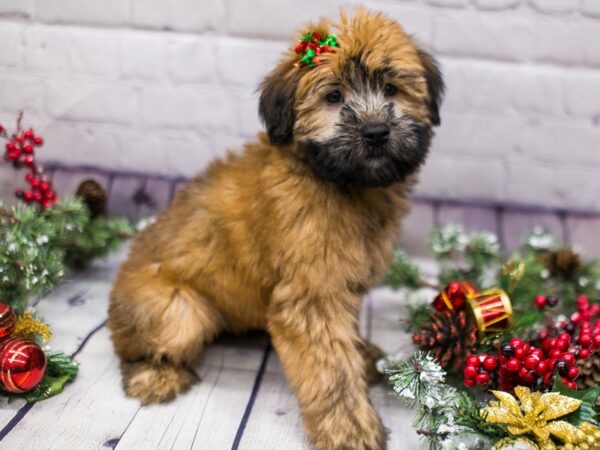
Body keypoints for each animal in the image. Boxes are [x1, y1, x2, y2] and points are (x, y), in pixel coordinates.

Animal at [110, 10, 442, 450]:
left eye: (391, 89)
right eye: (333, 97)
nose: (376, 133)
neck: (337, 181)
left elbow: (346, 339)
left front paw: (363, 356)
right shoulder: (311, 297)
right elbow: (331, 368)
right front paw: (348, 429)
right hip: (178, 309)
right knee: (139, 347)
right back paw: (156, 375)